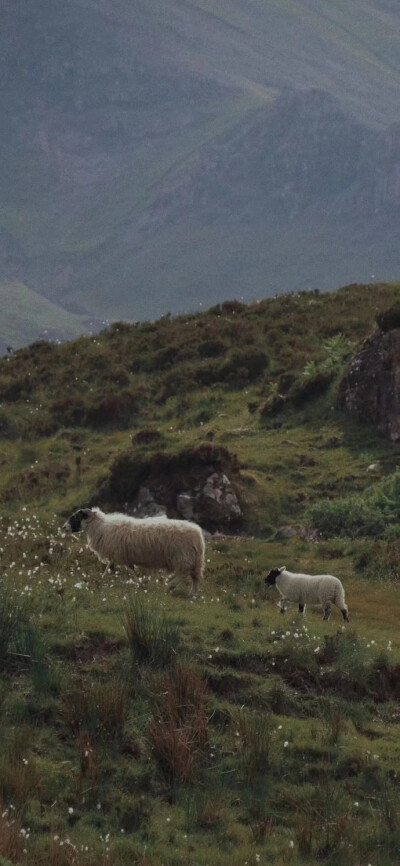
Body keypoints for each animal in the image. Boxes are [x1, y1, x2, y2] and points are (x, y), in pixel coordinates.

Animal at [64, 506, 206, 592]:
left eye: (76, 517)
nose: (64, 527)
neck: (100, 527)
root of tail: (198, 534)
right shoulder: (119, 555)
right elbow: (112, 568)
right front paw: (102, 579)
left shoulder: (120, 555)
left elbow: (128, 570)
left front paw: (139, 584)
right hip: (193, 559)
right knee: (194, 577)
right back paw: (192, 594)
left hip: (183, 556)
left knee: (184, 572)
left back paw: (170, 586)